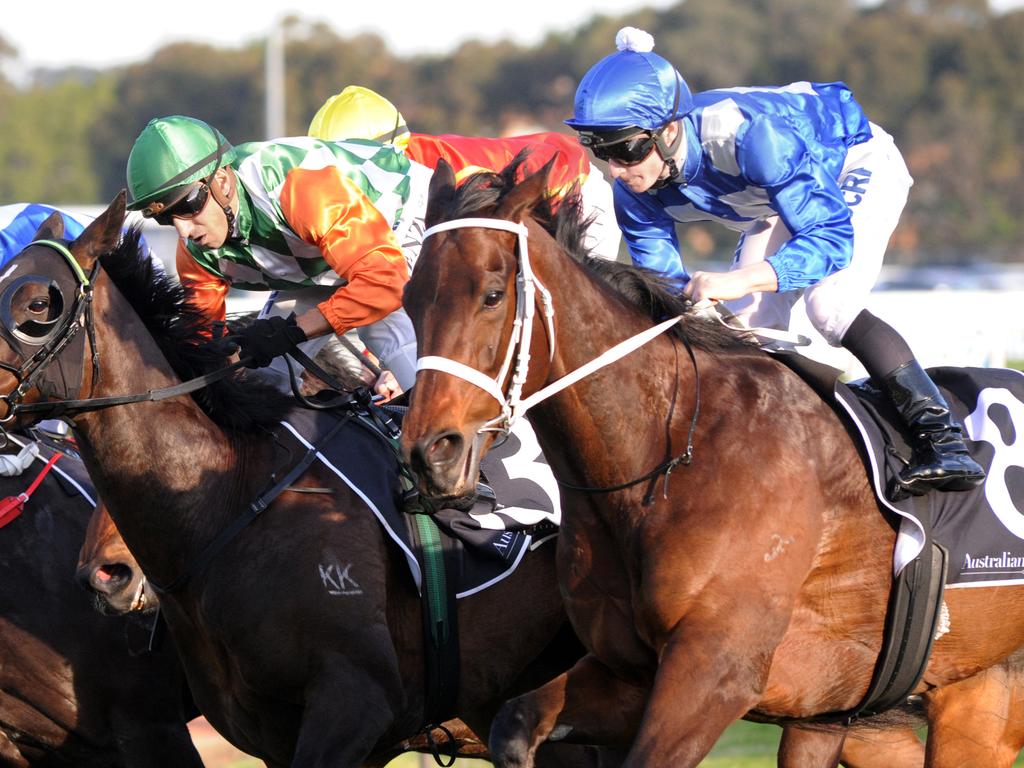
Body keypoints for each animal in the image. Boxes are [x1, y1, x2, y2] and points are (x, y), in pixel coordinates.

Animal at [397, 159, 1024, 765]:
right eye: (410, 298)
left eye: (492, 294)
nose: (431, 453)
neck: (662, 458)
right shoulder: (631, 672)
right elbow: (515, 723)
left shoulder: (716, 670)